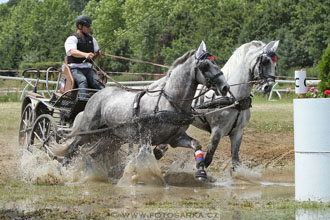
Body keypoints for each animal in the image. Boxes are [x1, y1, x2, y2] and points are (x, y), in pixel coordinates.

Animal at [64, 41, 229, 179]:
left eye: (215, 62)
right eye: (205, 66)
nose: (225, 87)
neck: (168, 101)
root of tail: (95, 95)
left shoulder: (175, 138)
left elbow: (196, 144)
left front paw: (201, 171)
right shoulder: (145, 138)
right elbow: (142, 158)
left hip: (111, 138)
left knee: (91, 153)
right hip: (88, 131)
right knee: (73, 147)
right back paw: (64, 169)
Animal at [153, 40, 280, 172]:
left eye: (275, 65)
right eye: (265, 62)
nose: (268, 87)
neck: (235, 99)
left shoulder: (237, 132)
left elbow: (235, 161)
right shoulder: (217, 131)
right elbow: (208, 158)